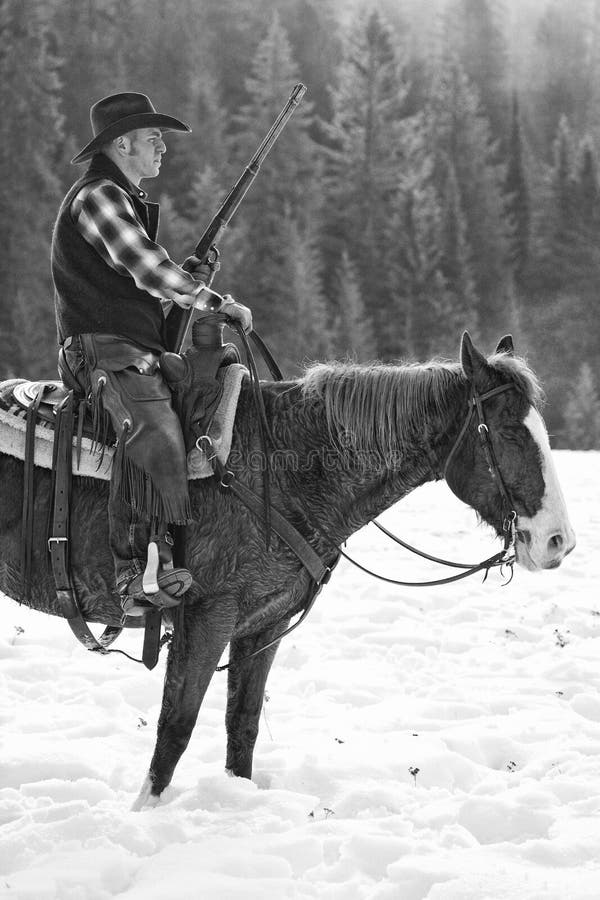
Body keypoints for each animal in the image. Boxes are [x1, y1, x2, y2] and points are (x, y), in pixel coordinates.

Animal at [0, 332, 576, 808]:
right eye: (508, 433)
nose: (558, 541)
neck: (283, 467)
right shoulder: (205, 617)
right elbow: (176, 728)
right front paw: (144, 813)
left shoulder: (263, 625)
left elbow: (243, 726)